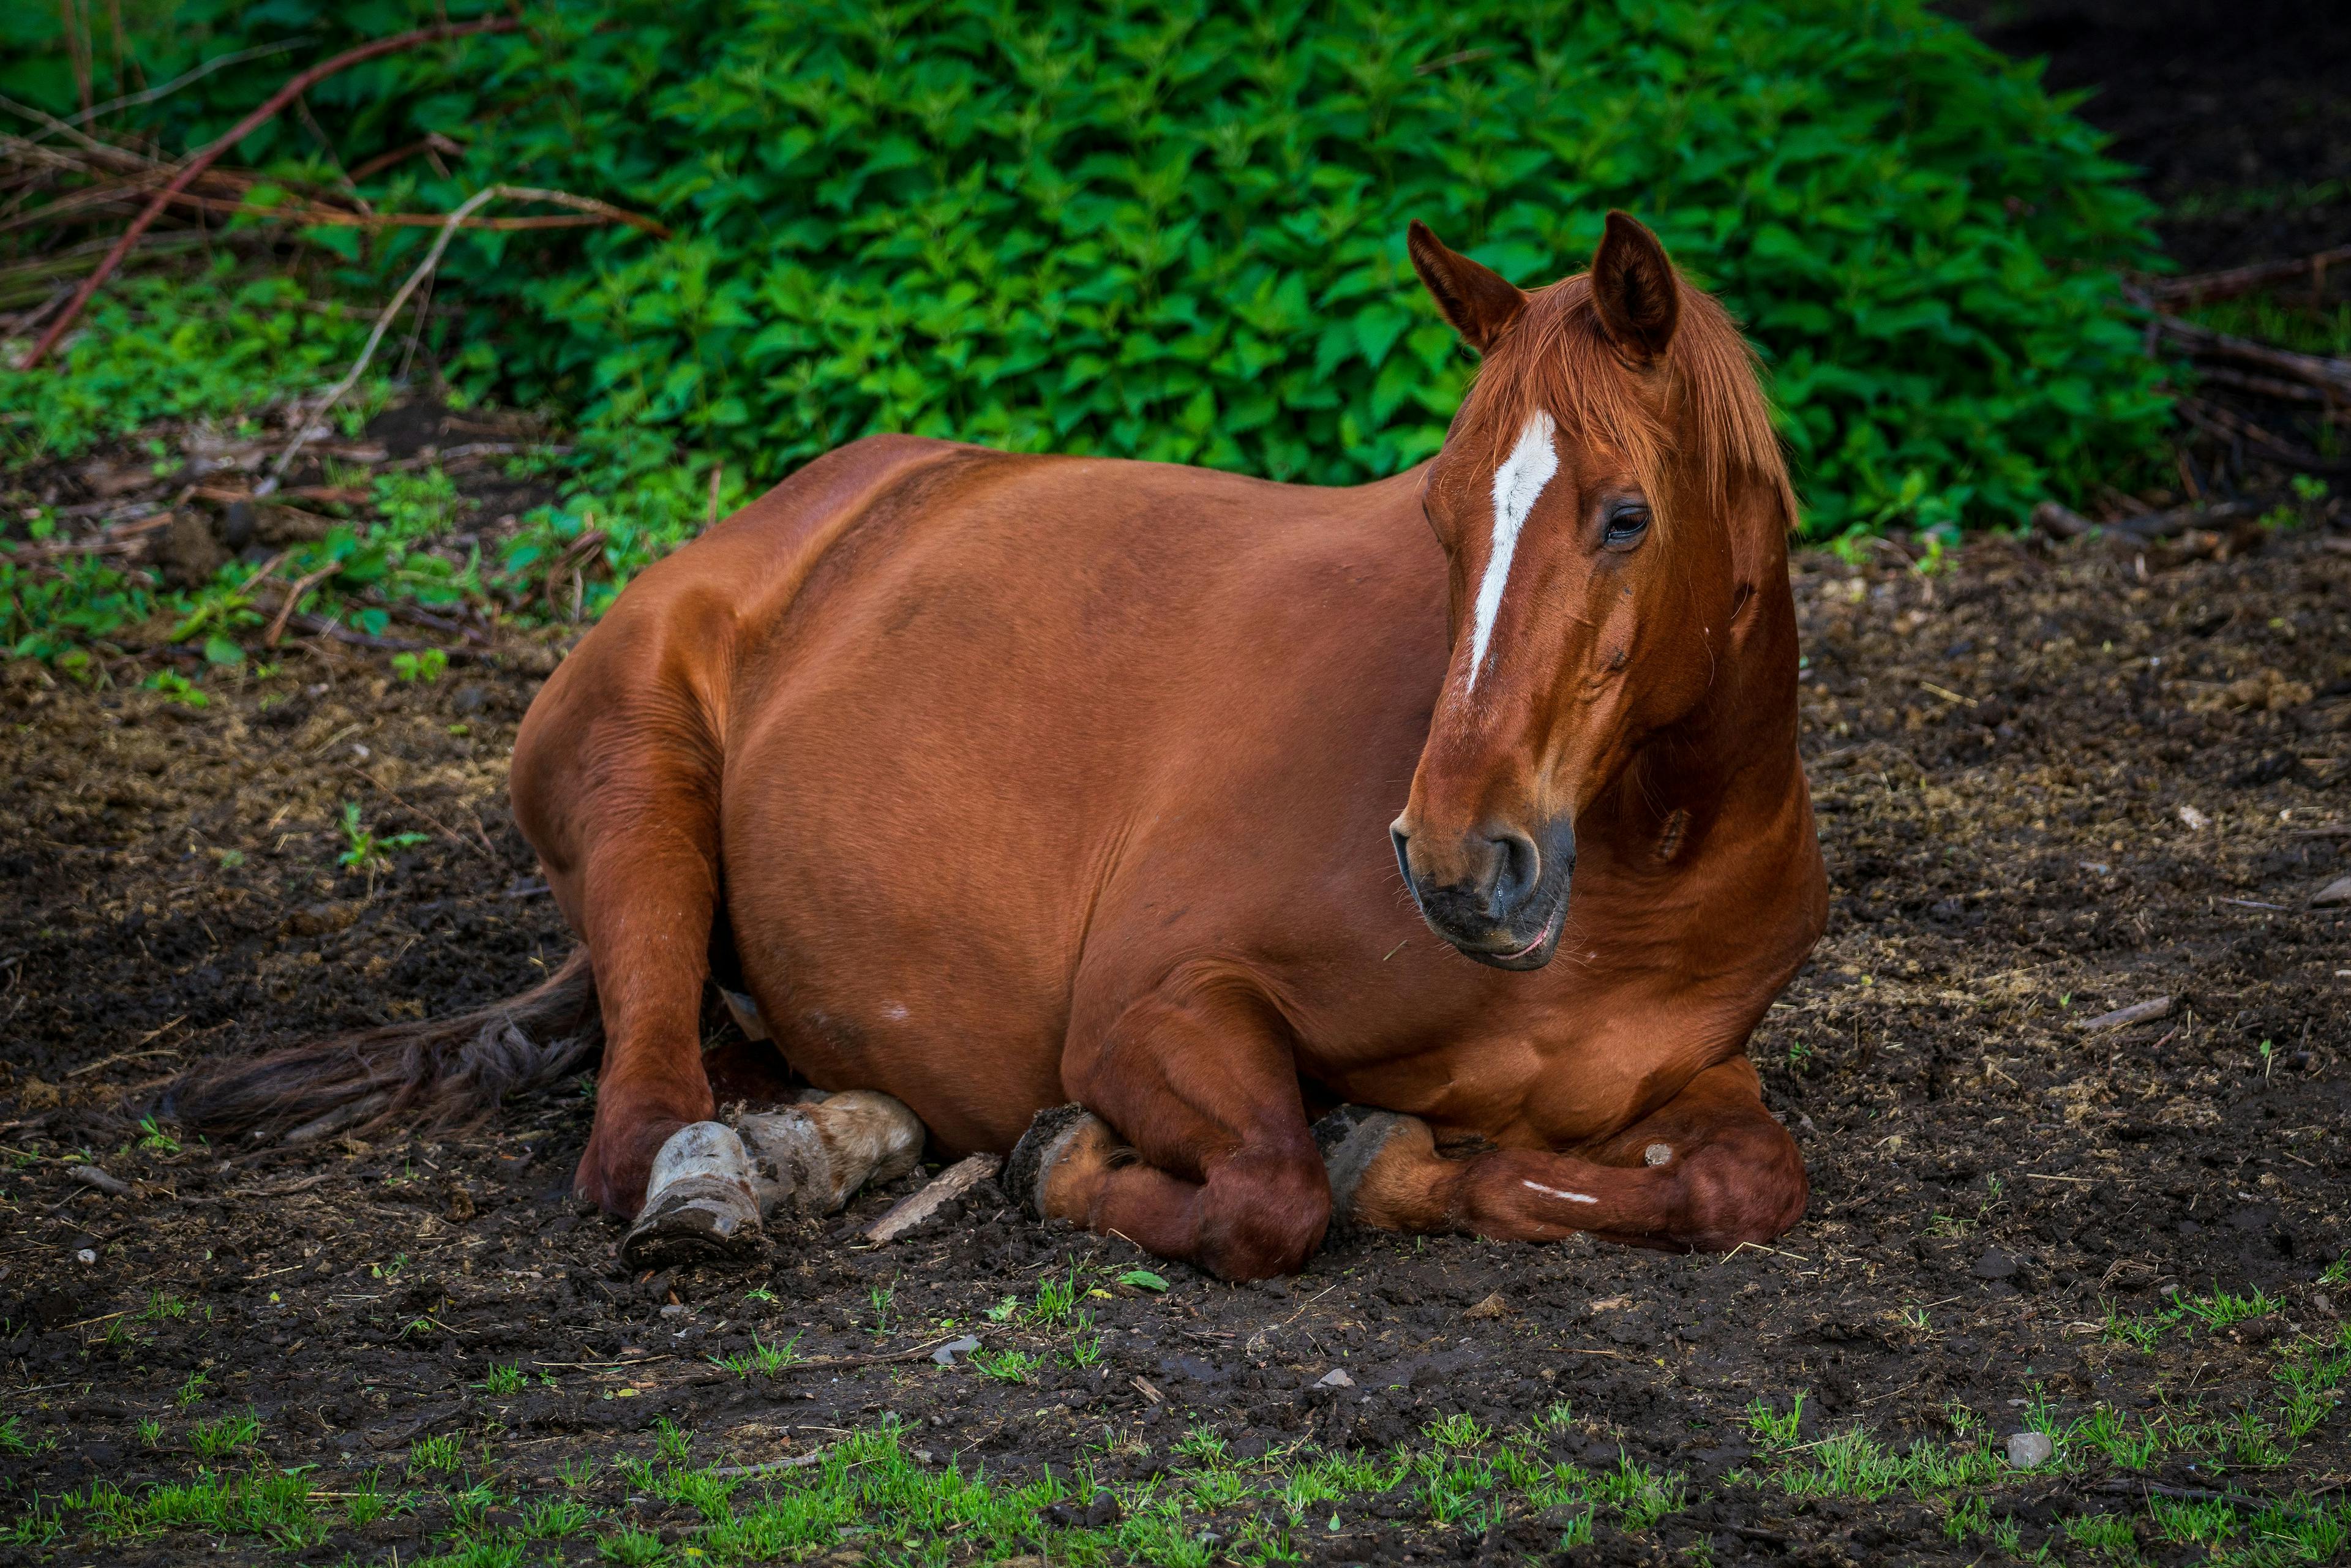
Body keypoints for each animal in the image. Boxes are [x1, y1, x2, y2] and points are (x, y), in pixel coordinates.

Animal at [174, 215, 1824, 1278]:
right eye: (1438, 513)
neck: (1643, 879)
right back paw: (734, 1173)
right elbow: (1276, 1190)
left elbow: (1744, 1181)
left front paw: (1419, 1154)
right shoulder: (1148, 1011)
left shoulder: (1698, 1082)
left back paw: (833, 1131)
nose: (1458, 861)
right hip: (640, 799)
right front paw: (1085, 1160)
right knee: (639, 1115)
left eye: (1626, 515)